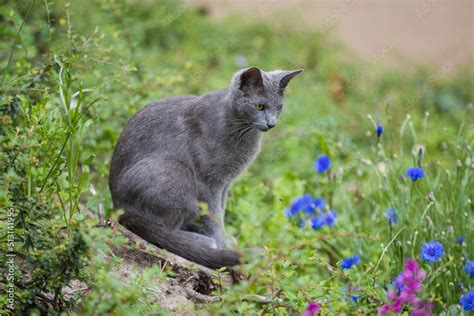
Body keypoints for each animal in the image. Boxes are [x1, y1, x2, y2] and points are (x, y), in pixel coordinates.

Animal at [109, 66, 302, 270]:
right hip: (175, 172)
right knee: (162, 227)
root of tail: (118, 207)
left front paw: (225, 239)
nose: (272, 123)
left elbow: (220, 212)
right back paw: (201, 241)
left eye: (279, 107)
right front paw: (221, 244)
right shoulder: (208, 182)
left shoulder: (225, 183)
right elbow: (214, 216)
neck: (242, 131)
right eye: (260, 107)